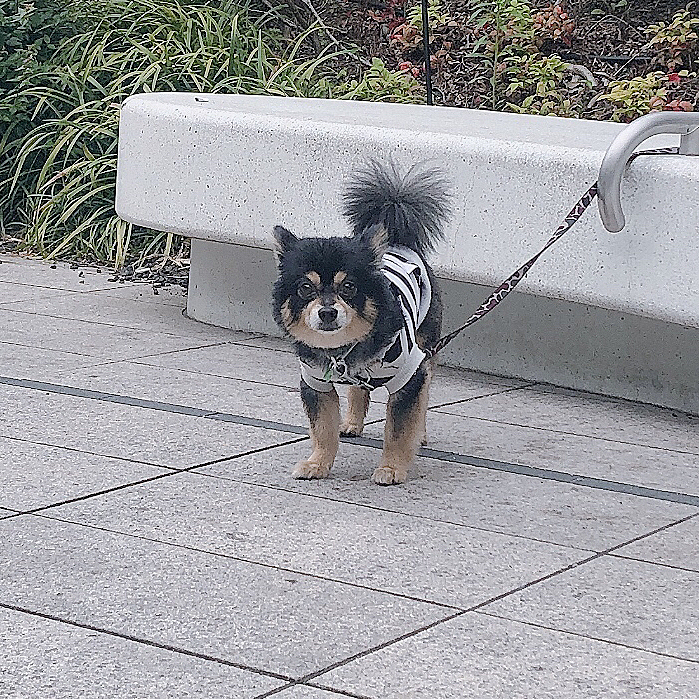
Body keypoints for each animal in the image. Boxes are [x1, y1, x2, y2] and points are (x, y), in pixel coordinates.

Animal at [270, 161, 452, 484]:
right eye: (305, 288)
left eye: (348, 287)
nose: (327, 312)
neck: (342, 351)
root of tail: (399, 242)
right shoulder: (316, 384)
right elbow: (323, 429)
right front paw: (317, 463)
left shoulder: (411, 376)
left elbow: (399, 430)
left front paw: (392, 468)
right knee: (358, 390)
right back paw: (352, 423)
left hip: (427, 349)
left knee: (425, 393)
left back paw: (421, 433)